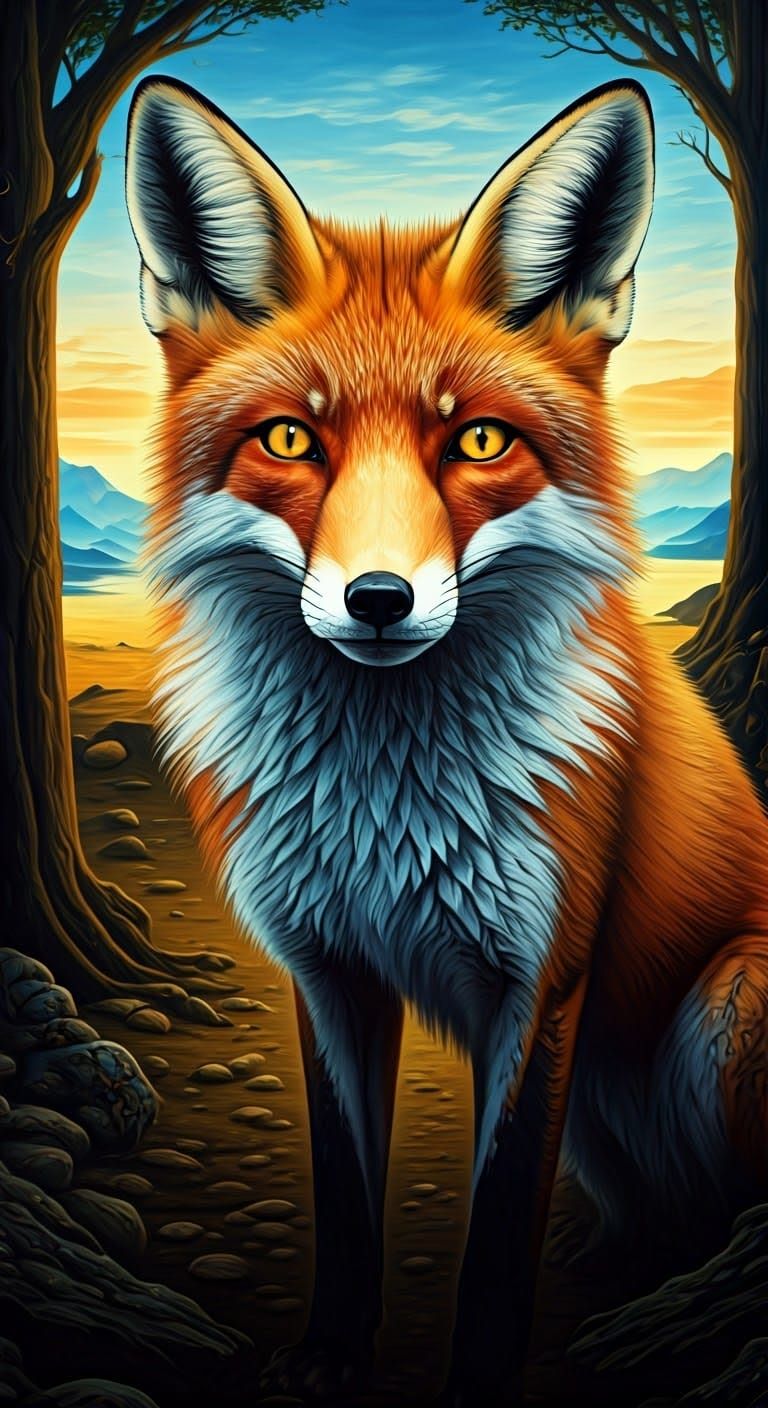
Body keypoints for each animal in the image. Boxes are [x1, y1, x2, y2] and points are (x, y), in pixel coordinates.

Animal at [125, 76, 768, 1405]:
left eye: (476, 440)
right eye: (291, 440)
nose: (380, 600)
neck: (387, 804)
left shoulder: (543, 977)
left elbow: (500, 1218)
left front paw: (480, 1372)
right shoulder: (327, 969)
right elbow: (347, 1195)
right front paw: (328, 1354)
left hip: (729, 1002)